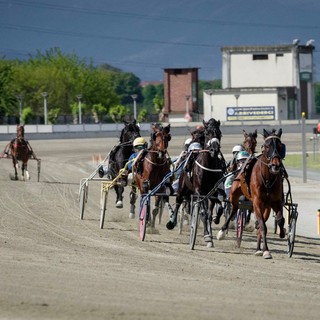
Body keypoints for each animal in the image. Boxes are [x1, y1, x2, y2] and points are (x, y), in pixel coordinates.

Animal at [166, 117, 226, 248]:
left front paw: (215, 220)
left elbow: (219, 208)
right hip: (182, 187)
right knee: (178, 201)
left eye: (219, 134)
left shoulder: (213, 192)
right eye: (207, 133)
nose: (214, 150)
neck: (207, 167)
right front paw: (207, 237)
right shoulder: (200, 192)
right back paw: (171, 223)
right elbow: (203, 213)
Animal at [216, 129, 286, 258]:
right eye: (267, 146)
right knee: (234, 208)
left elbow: (280, 219)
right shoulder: (257, 202)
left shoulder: (276, 201)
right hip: (234, 193)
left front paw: (282, 232)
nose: (276, 165)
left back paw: (259, 248)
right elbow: (263, 226)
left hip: (266, 207)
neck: (267, 179)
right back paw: (222, 232)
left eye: (280, 146)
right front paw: (266, 251)